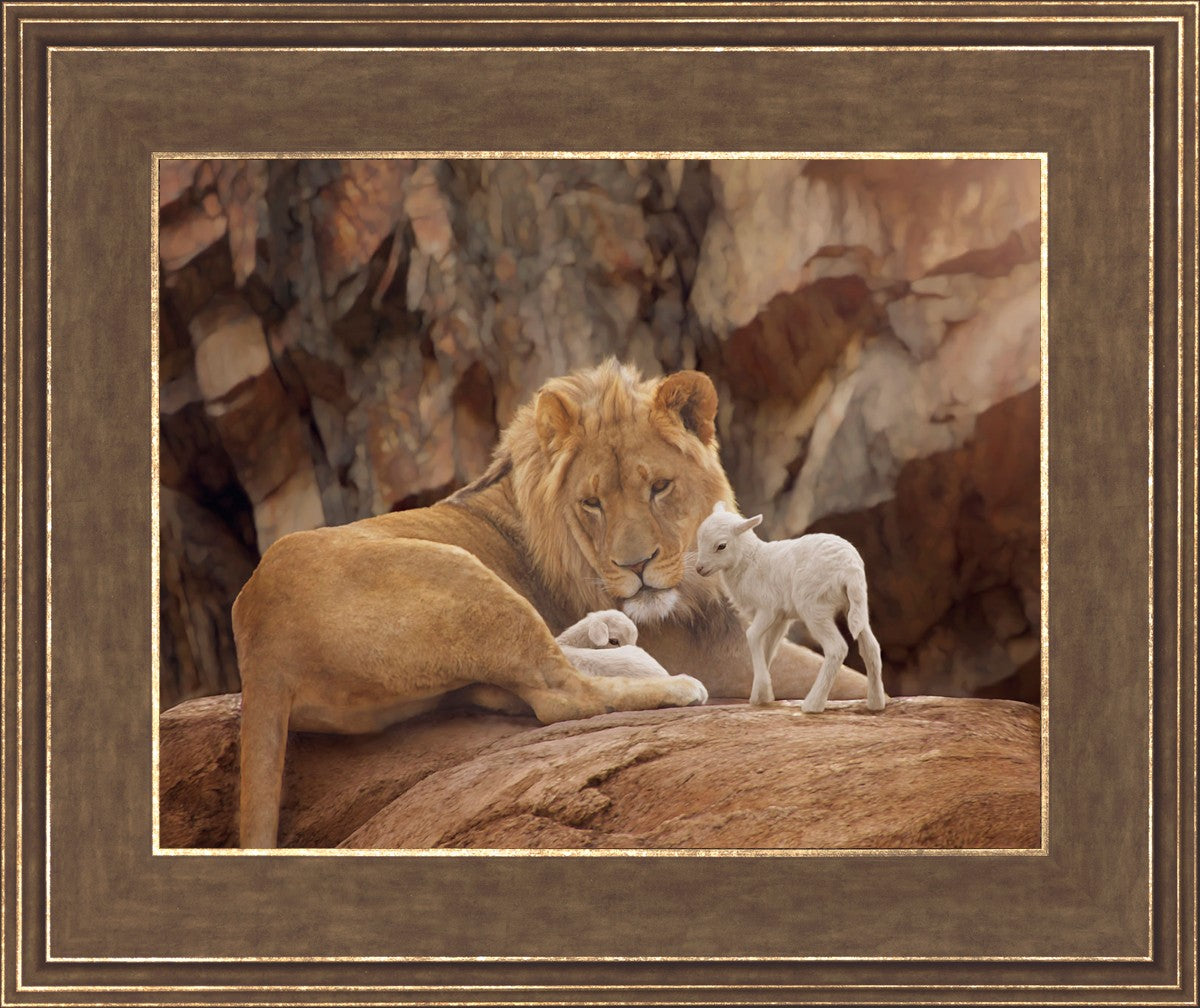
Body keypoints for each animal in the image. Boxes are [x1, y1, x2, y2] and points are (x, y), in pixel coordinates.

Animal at [694, 502, 887, 713]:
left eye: (721, 546)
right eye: (699, 538)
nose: (699, 569)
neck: (750, 561)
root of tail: (850, 568)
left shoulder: (768, 608)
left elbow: (752, 636)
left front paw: (762, 690)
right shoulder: (780, 618)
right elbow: (768, 648)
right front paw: (761, 695)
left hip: (814, 607)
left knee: (836, 648)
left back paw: (813, 704)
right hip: (856, 605)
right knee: (871, 647)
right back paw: (876, 703)